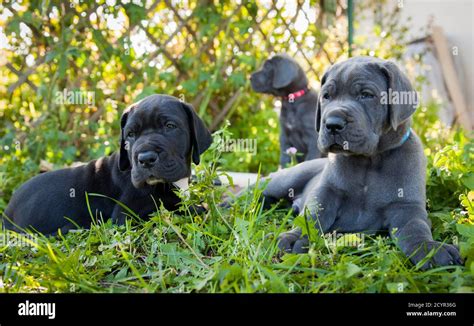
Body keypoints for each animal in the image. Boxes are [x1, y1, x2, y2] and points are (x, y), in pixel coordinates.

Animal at [264, 56, 464, 270]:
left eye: (366, 95)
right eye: (326, 96)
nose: (332, 124)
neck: (369, 160)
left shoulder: (407, 206)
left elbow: (415, 228)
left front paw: (431, 249)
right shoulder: (327, 192)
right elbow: (312, 216)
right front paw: (296, 237)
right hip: (287, 179)